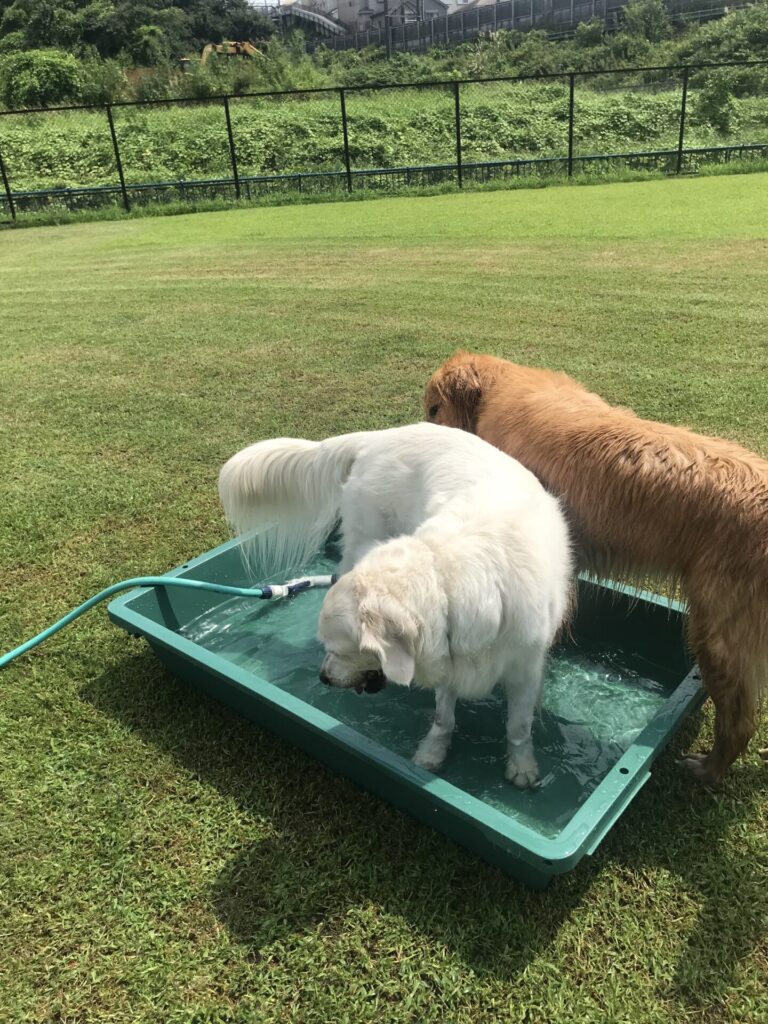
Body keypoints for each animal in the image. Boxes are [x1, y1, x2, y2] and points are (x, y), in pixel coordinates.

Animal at [219, 422, 572, 785]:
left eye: (342, 650)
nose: (323, 678)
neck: (448, 579)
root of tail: (378, 435)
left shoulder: (523, 669)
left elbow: (518, 726)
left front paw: (522, 765)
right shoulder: (448, 655)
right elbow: (444, 717)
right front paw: (433, 751)